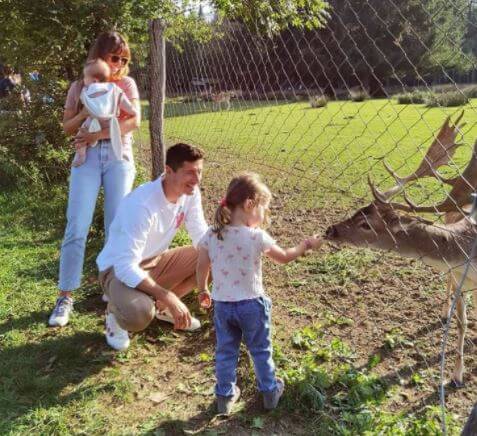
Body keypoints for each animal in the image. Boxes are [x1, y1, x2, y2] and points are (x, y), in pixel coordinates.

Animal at [324, 112, 476, 384]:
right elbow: (462, 322)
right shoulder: (460, 280)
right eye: (358, 210)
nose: (330, 230)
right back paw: (444, 311)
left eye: (366, 224)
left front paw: (458, 376)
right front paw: (457, 375)